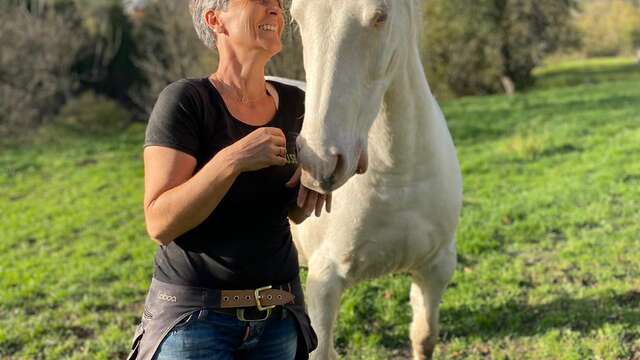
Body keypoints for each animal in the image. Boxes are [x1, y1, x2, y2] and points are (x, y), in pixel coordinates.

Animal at [280, 1, 460, 358]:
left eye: (380, 16)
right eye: (297, 18)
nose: (318, 162)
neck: (398, 177)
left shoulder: (436, 267)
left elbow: (424, 336)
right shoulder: (325, 280)